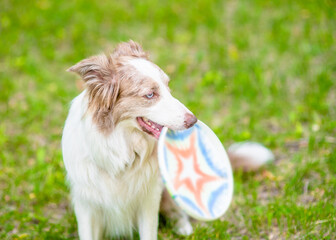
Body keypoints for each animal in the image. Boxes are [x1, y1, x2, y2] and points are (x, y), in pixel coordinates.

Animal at [61, 40, 274, 239]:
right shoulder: (86, 205)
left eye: (168, 86)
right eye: (150, 94)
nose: (193, 121)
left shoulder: (149, 199)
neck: (122, 149)